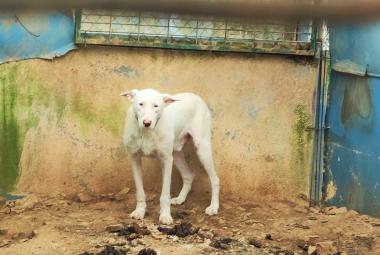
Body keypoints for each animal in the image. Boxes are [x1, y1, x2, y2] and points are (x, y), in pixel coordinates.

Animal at [120, 88, 221, 224]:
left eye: (156, 106)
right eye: (140, 104)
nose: (147, 123)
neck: (147, 132)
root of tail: (195, 96)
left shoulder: (166, 160)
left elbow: (165, 194)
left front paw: (165, 215)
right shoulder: (135, 158)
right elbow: (140, 191)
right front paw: (139, 211)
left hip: (202, 149)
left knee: (215, 179)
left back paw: (213, 207)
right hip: (176, 154)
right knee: (189, 175)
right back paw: (180, 198)